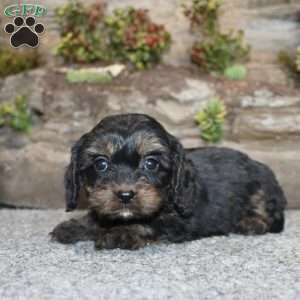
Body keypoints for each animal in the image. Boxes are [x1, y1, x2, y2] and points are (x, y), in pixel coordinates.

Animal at [50, 113, 288, 250]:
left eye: (151, 163)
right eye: (101, 164)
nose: (125, 195)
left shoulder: (179, 221)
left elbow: (147, 223)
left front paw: (120, 233)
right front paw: (77, 225)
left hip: (261, 187)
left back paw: (250, 223)